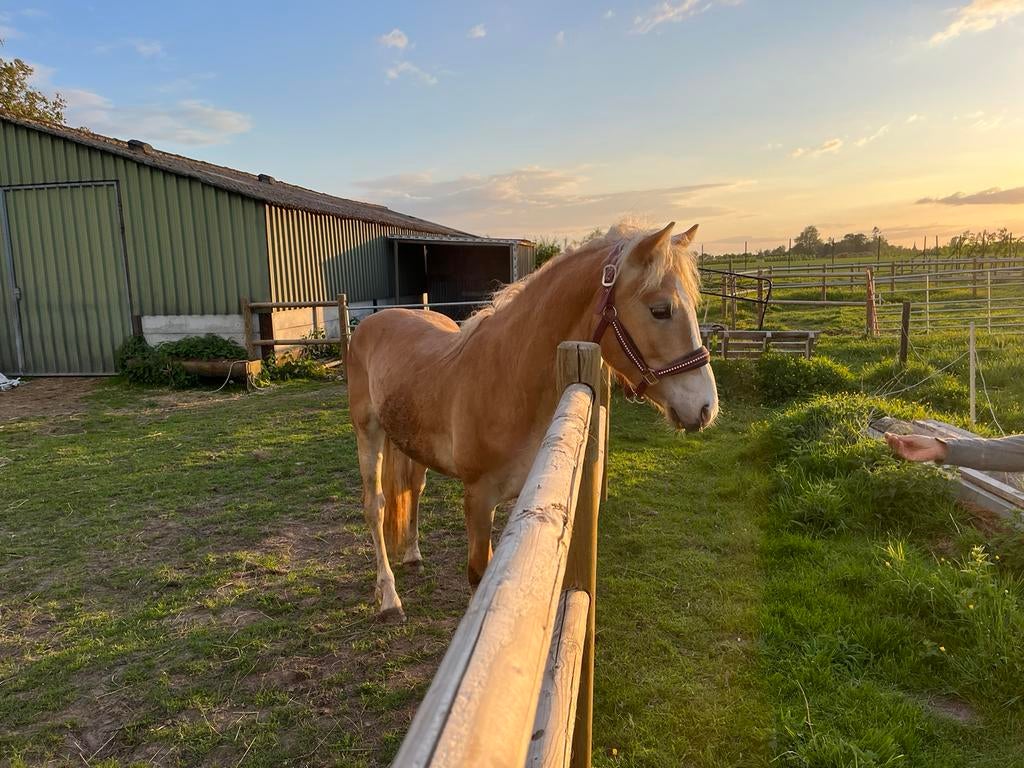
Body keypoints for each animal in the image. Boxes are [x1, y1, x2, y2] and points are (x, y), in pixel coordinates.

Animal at [346, 221, 719, 620]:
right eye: (661, 310)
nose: (705, 407)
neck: (506, 377)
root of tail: (373, 321)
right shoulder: (478, 499)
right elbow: (478, 575)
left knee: (413, 488)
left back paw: (413, 555)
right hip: (368, 432)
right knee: (375, 505)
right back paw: (389, 598)